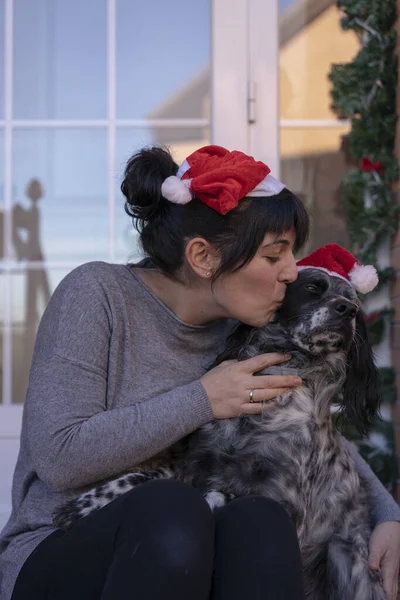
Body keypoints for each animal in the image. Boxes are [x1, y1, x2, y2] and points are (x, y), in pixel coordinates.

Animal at [53, 270, 384, 600]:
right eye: (313, 288)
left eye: (354, 303)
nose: (347, 310)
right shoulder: (192, 462)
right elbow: (142, 478)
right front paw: (87, 503)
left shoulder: (289, 505)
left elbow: (211, 496)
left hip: (345, 558)